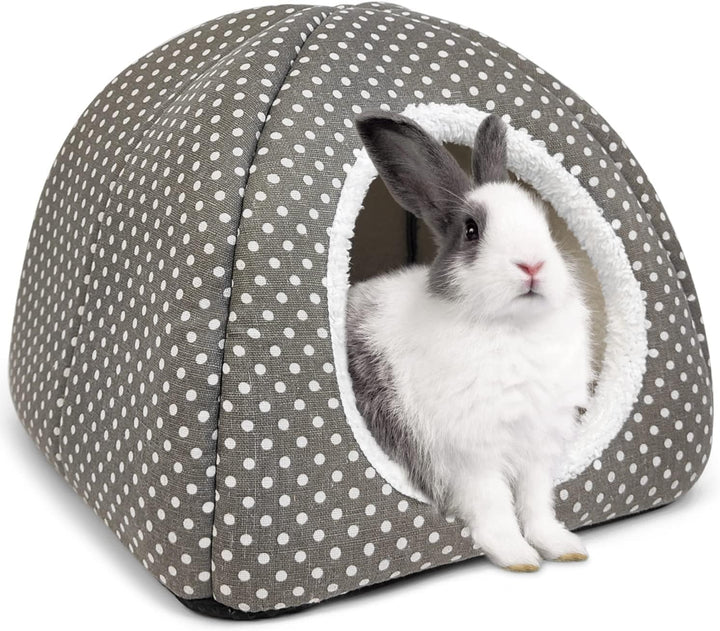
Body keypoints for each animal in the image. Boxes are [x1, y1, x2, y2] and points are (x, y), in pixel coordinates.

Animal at [346, 111, 593, 572]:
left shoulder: (537, 449)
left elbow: (536, 504)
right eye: (472, 230)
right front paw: (518, 557)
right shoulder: (471, 455)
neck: (513, 328)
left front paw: (563, 547)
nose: (532, 265)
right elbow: (493, 505)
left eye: (545, 223)